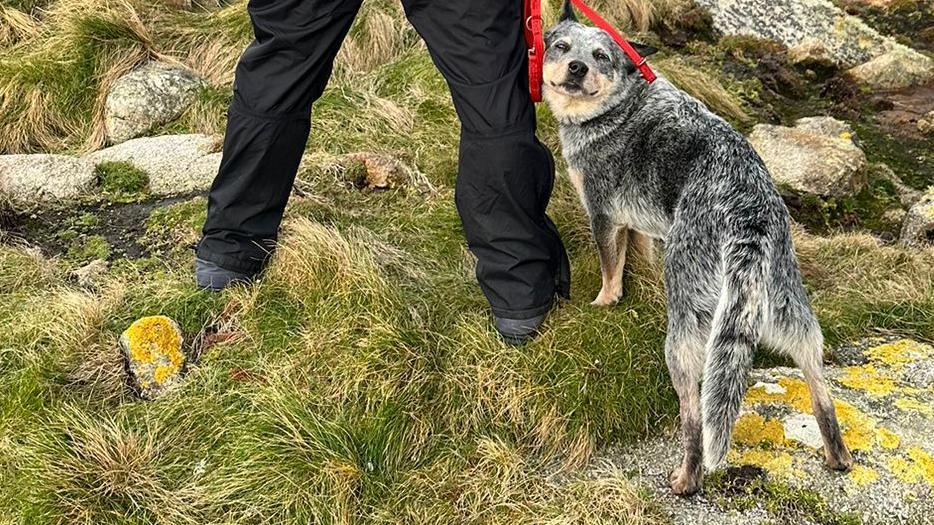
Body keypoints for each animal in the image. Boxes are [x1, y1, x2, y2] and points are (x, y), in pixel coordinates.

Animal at [540, 5, 856, 496]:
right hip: (786, 301)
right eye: (561, 46)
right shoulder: (640, 224)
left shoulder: (603, 215)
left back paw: (688, 477)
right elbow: (638, 256)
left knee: (694, 412)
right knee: (814, 369)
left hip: (688, 331)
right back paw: (836, 451)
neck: (618, 106)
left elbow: (611, 268)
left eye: (599, 56)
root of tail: (748, 209)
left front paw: (606, 302)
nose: (576, 68)